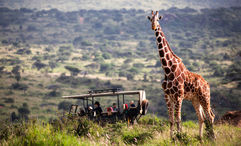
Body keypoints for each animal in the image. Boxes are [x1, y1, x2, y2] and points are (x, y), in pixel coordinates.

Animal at [147, 10, 215, 139]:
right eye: (150, 19)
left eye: (158, 19)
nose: (153, 26)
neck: (167, 69)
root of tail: (207, 84)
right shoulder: (167, 96)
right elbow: (171, 120)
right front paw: (172, 138)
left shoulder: (179, 96)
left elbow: (178, 119)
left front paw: (179, 137)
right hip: (195, 99)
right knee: (202, 118)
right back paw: (201, 138)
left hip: (205, 97)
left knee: (210, 116)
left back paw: (213, 139)